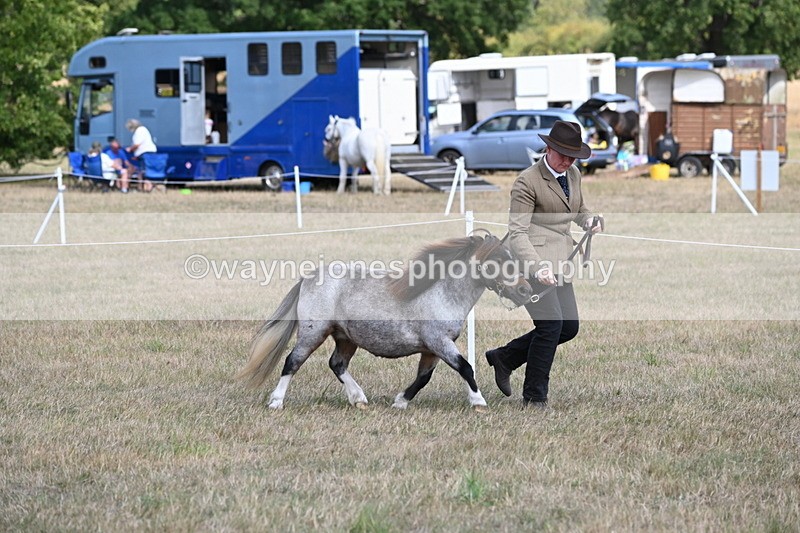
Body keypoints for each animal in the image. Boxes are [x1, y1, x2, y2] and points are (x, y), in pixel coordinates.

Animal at [236, 231, 534, 411]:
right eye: (499, 260)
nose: (525, 290)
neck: (442, 293)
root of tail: (308, 278)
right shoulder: (439, 342)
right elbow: (466, 368)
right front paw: (478, 401)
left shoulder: (432, 349)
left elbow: (423, 378)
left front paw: (400, 402)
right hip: (313, 333)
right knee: (292, 362)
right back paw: (276, 402)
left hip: (345, 337)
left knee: (337, 364)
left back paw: (359, 399)